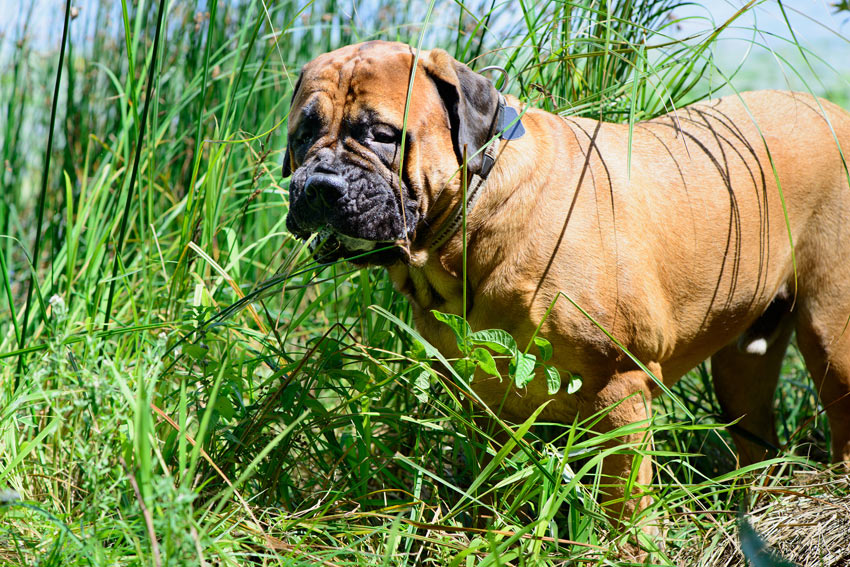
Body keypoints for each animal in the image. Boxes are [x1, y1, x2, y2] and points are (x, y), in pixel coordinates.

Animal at [284, 40, 848, 524]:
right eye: (303, 135)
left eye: (382, 135)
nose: (318, 185)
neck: (469, 227)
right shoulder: (486, 398)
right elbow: (494, 484)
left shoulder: (619, 389)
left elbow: (625, 499)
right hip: (741, 365)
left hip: (830, 338)